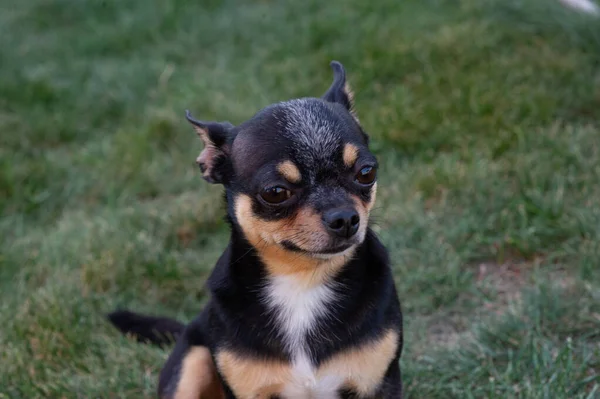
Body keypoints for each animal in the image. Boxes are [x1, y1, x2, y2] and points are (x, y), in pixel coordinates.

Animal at [108, 61, 404, 398]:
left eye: (366, 173)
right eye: (275, 192)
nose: (345, 218)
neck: (302, 281)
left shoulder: (378, 384)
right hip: (192, 362)